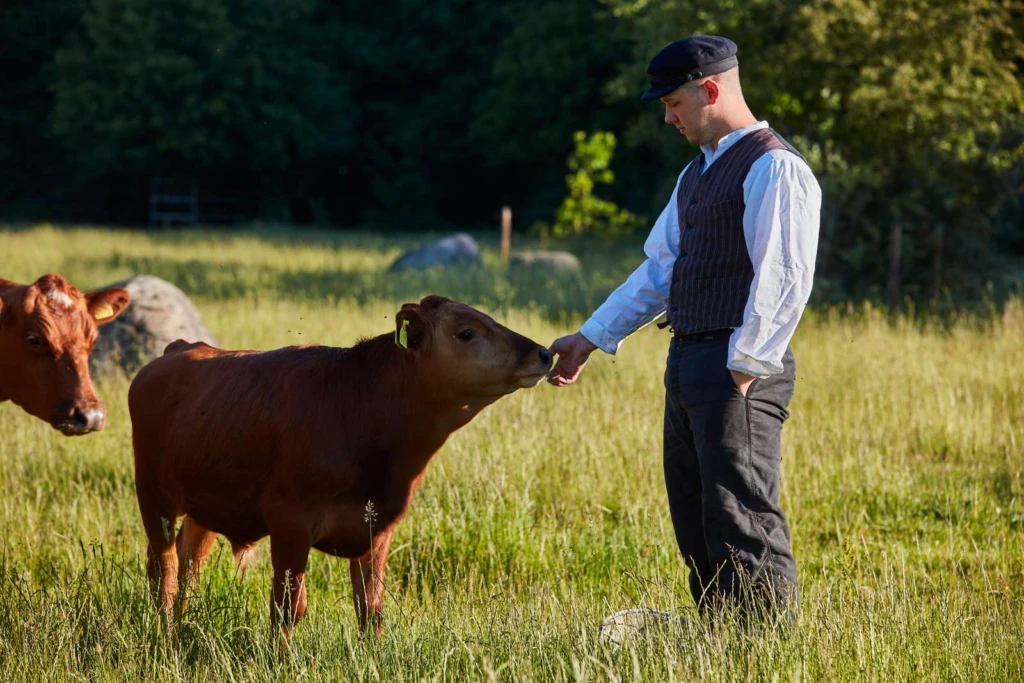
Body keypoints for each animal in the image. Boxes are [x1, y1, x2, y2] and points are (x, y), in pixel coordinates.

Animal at [132, 294, 557, 643]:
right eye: (466, 332)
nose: (543, 353)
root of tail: (181, 348)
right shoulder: (290, 521)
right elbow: (288, 607)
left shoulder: (378, 529)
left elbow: (371, 608)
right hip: (154, 495)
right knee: (164, 569)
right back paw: (165, 629)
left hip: (204, 505)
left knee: (189, 563)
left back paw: (182, 624)